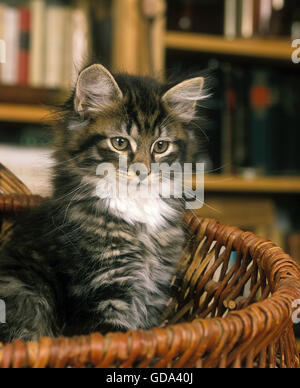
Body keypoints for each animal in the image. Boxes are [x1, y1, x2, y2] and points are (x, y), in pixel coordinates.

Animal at [0, 65, 205, 342]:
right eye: (119, 143)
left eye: (161, 146)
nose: (143, 172)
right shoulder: (101, 289)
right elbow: (118, 337)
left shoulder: (155, 288)